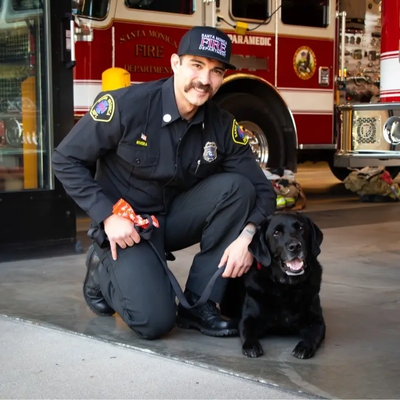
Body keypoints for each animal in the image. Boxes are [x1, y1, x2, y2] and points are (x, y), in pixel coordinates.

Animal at [220, 212, 326, 359]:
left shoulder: (316, 320)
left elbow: (313, 335)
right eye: (276, 233)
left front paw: (304, 347)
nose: (295, 246)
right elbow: (247, 331)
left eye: (301, 228)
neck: (286, 287)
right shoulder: (249, 318)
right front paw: (251, 346)